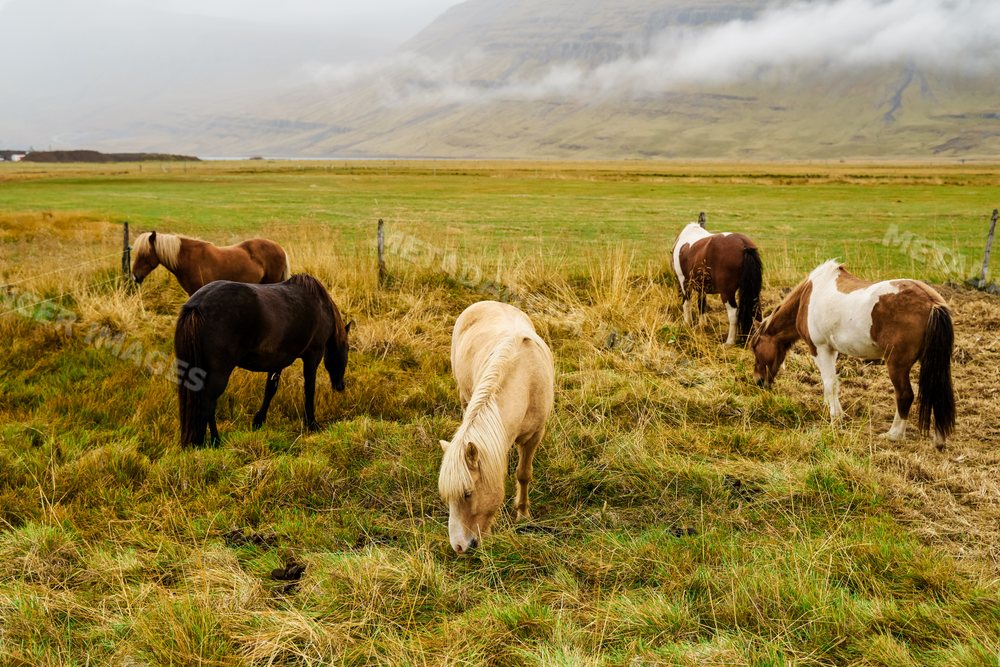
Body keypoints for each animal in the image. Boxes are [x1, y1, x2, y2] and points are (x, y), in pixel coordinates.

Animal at [173, 274, 350, 446]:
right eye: (347, 348)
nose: (340, 386)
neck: (321, 305)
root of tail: (197, 305)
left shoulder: (278, 360)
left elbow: (270, 390)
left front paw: (258, 421)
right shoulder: (313, 355)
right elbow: (309, 389)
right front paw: (312, 423)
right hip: (219, 374)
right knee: (208, 405)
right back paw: (215, 441)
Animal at [438, 300, 555, 555]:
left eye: (467, 493)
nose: (458, 546)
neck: (527, 382)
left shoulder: (535, 436)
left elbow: (524, 474)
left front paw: (523, 515)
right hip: (464, 396)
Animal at [752, 260, 955, 449]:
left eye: (755, 347)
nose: (758, 382)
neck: (808, 296)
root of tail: (932, 302)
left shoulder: (820, 348)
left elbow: (830, 383)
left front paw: (835, 417)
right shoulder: (832, 350)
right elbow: (832, 383)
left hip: (897, 365)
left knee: (905, 395)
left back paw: (894, 435)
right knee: (938, 395)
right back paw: (939, 439)